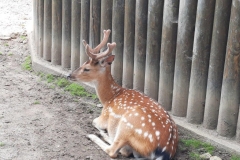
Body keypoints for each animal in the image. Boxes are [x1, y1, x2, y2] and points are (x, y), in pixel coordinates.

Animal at [68, 29, 177, 159]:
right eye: (83, 63)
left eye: (87, 68)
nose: (69, 75)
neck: (110, 98)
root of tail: (163, 151)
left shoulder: (104, 115)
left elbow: (93, 121)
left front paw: (101, 130)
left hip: (127, 125)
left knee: (115, 151)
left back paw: (95, 135)